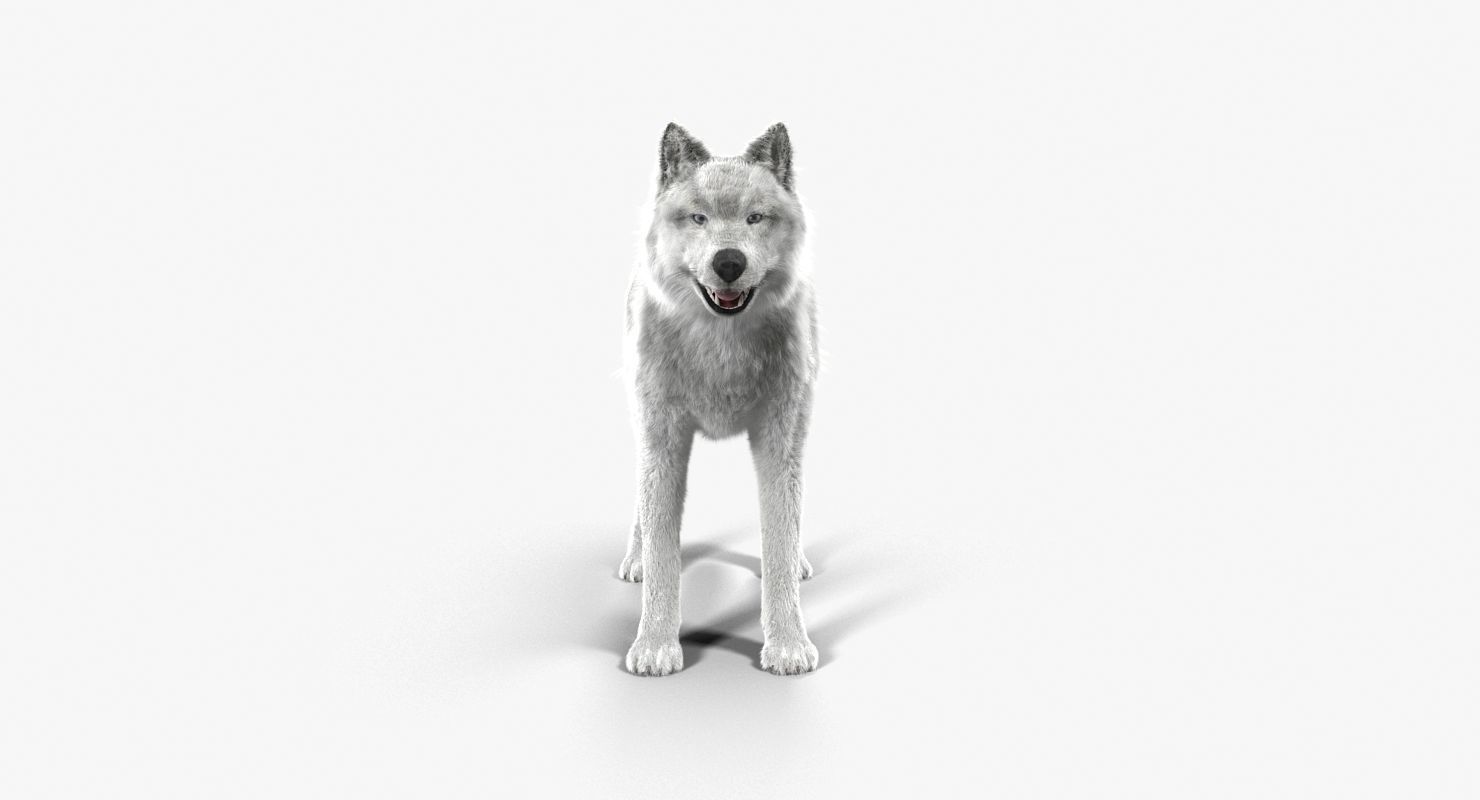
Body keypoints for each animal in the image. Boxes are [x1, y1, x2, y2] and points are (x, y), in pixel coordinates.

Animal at [619, 122, 819, 676]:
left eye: (755, 217)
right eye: (699, 218)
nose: (729, 262)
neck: (720, 348)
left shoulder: (779, 445)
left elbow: (779, 538)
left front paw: (787, 645)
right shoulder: (663, 442)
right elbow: (663, 553)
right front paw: (656, 647)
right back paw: (635, 558)